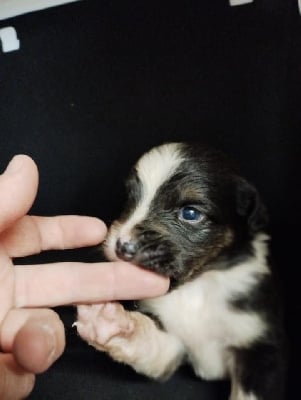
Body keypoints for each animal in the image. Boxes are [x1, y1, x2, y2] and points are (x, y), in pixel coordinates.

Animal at [75, 144, 284, 400]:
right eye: (130, 199)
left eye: (190, 213)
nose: (122, 247)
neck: (198, 287)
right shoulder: (174, 344)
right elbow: (150, 344)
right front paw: (110, 322)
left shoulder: (261, 351)